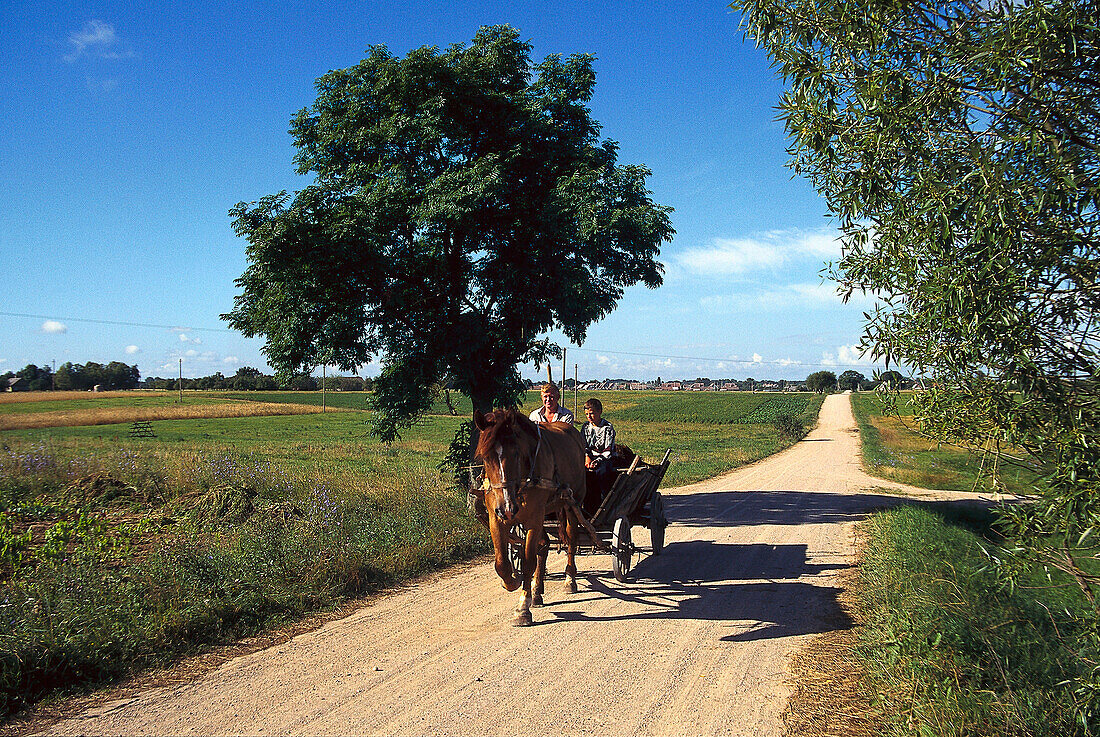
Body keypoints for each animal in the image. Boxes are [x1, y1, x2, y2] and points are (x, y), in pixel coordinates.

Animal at [470, 413, 589, 624]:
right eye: (485, 457)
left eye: (516, 453)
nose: (507, 508)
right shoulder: (496, 518)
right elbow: (502, 564)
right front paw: (511, 581)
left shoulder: (533, 519)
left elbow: (527, 563)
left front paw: (522, 608)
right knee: (543, 545)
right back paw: (537, 591)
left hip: (570, 504)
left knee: (571, 540)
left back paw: (569, 580)